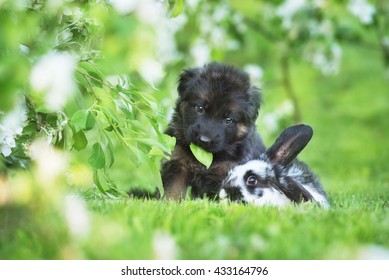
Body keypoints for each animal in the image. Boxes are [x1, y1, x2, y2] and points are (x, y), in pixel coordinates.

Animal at [162, 62, 266, 200]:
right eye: (199, 108)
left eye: (228, 120)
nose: (204, 140)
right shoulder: (177, 162)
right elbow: (173, 190)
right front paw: (169, 203)